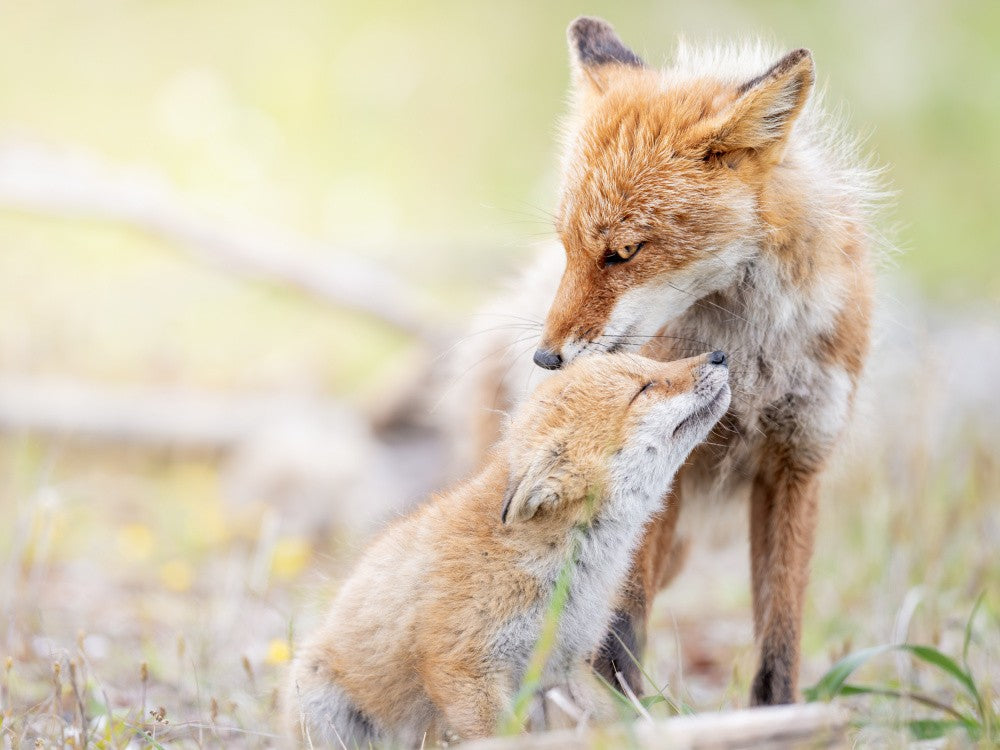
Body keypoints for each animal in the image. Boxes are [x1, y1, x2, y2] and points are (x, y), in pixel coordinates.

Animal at [288, 351, 730, 747]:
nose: (720, 354)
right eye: (644, 388)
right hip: (322, 703)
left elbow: (610, 721)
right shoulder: (464, 670)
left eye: (654, 364)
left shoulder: (564, 666)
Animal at [443, 18, 881, 707]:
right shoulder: (659, 479)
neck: (751, 355)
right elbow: (621, 641)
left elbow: (779, 651)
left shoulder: (798, 465)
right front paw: (629, 718)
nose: (546, 357)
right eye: (566, 247)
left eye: (624, 252)